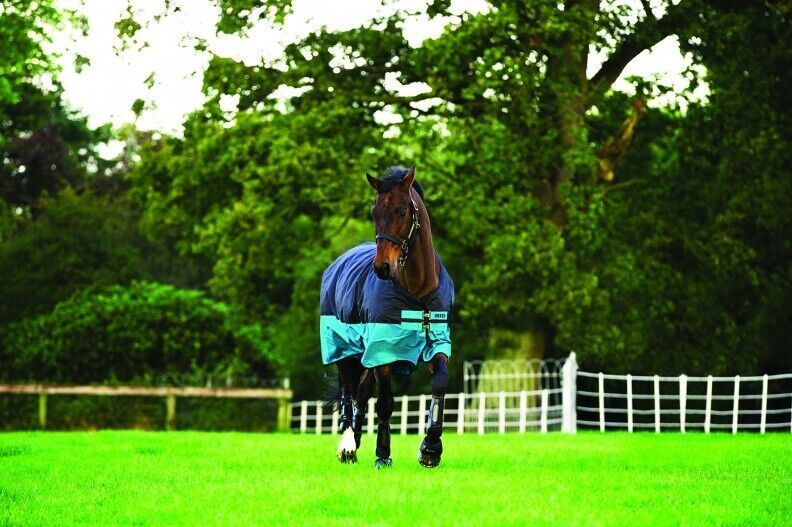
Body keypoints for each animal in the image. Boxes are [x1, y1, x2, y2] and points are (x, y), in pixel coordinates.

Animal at [319, 166, 454, 469]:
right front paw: (383, 455)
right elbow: (385, 402)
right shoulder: (383, 350)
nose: (382, 267)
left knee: (360, 395)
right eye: (374, 212)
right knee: (348, 391)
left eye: (402, 211)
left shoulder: (438, 340)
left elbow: (440, 384)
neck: (417, 289)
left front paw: (430, 449)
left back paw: (355, 442)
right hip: (344, 349)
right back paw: (347, 445)